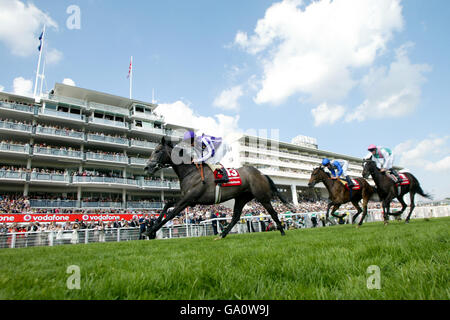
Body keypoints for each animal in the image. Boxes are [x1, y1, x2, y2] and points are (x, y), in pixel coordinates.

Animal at [142, 138, 296, 240]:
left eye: (157, 151)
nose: (147, 167)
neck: (190, 172)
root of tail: (261, 174)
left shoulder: (189, 199)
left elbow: (171, 213)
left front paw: (150, 231)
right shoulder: (188, 199)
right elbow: (167, 204)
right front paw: (150, 230)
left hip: (262, 197)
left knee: (273, 213)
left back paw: (282, 232)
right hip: (241, 198)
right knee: (235, 217)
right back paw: (222, 234)